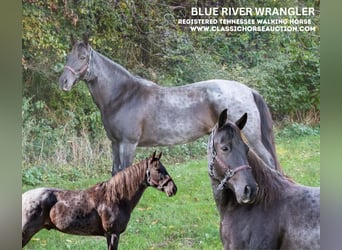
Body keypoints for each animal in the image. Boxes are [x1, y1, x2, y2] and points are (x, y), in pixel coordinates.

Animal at [57, 34, 280, 176]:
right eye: (68, 56)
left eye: (83, 57)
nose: (63, 82)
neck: (123, 96)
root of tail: (247, 90)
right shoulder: (115, 143)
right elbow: (115, 173)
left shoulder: (128, 144)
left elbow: (123, 172)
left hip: (251, 135)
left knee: (268, 161)